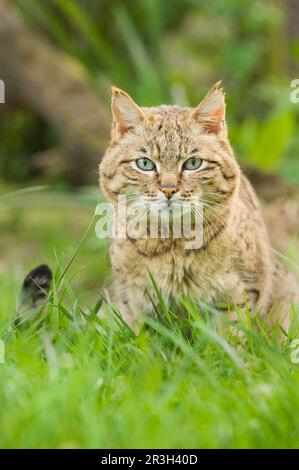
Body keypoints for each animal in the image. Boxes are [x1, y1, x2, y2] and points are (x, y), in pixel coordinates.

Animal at [18, 82, 299, 336]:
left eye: (192, 163)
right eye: (145, 164)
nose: (168, 189)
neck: (172, 243)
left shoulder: (238, 297)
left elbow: (227, 344)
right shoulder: (136, 302)